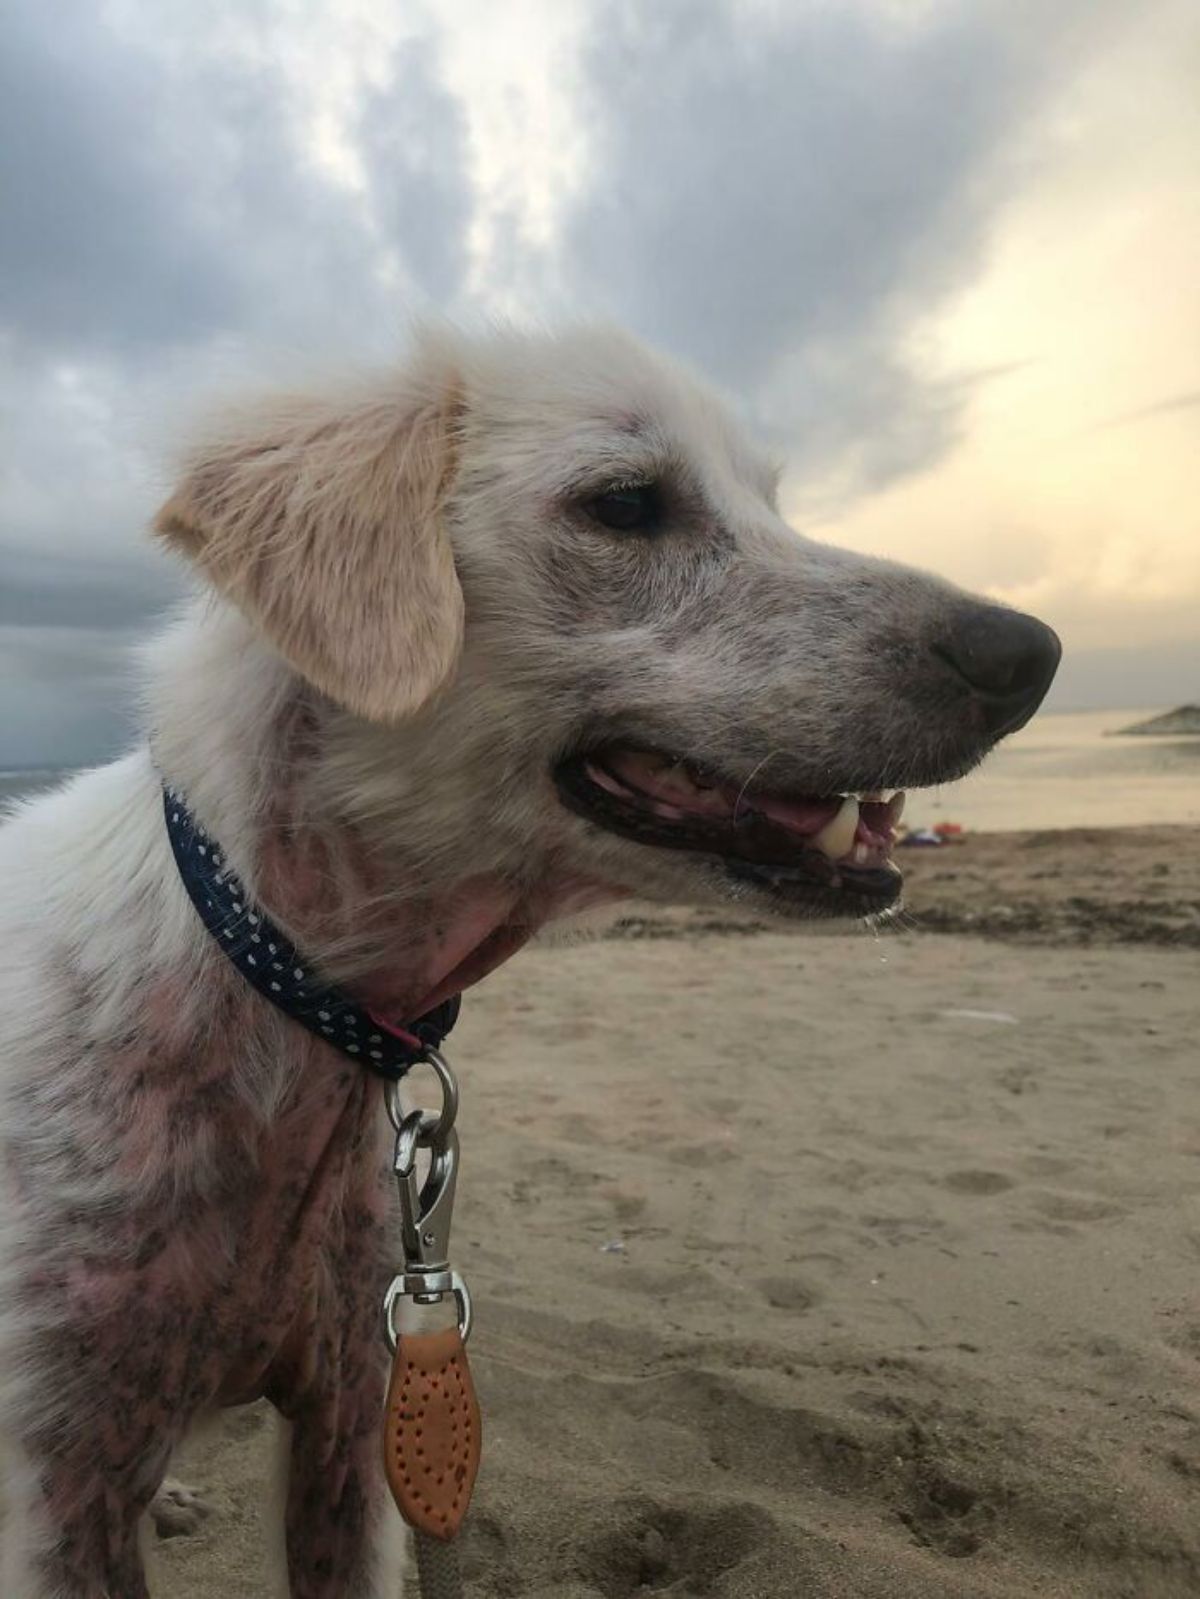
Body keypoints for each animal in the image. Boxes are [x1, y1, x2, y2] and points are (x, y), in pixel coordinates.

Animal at [0, 318, 1062, 1592]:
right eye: (626, 504)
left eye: (771, 502)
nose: (1032, 653)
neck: (261, 1003)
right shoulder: (57, 1475)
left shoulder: (359, 1419)